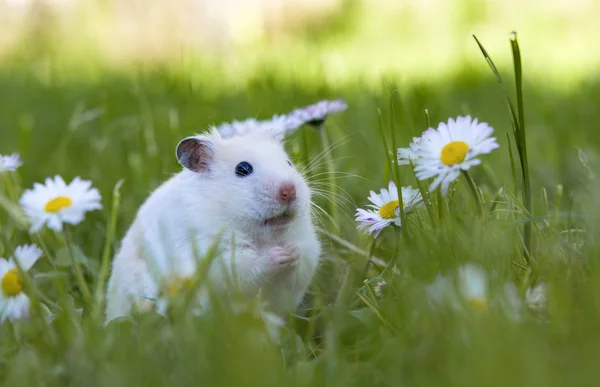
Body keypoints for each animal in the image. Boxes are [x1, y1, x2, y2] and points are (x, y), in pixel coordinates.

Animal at [106, 129, 324, 322]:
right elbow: (248, 266)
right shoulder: (214, 257)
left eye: (289, 163)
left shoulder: (307, 250)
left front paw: (293, 251)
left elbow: (301, 261)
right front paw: (281, 254)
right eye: (243, 169)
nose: (289, 191)